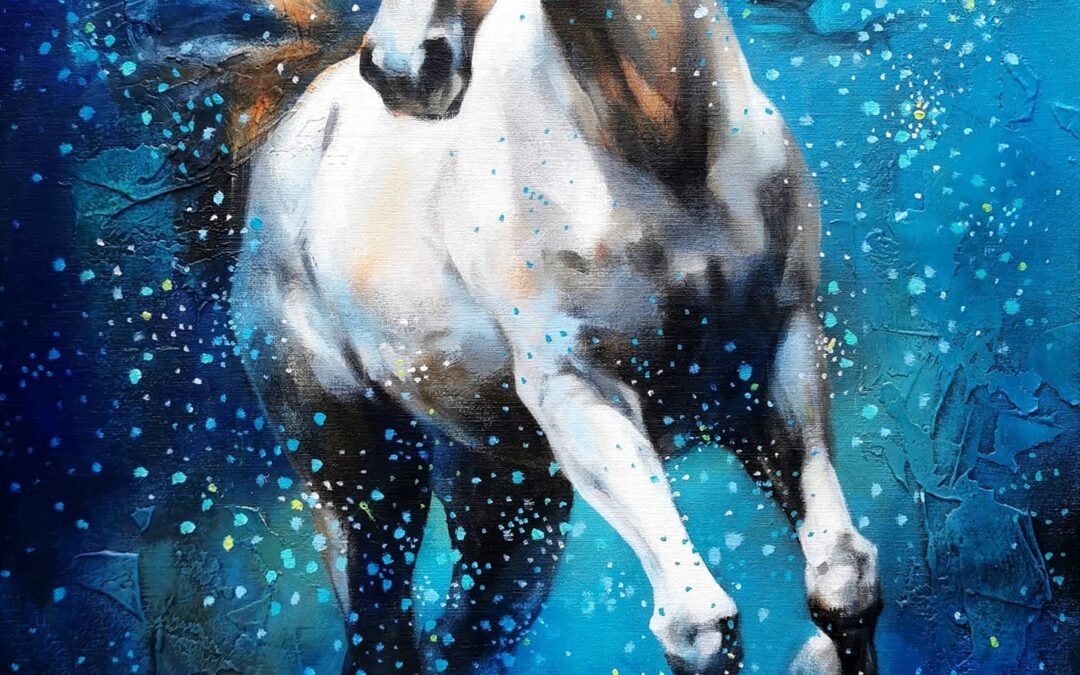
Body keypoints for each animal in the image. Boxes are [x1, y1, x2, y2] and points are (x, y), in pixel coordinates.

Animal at [229, 0, 883, 672]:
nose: (400, 69)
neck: (656, 140)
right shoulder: (576, 391)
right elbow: (698, 627)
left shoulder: (777, 360)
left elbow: (843, 583)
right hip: (362, 490)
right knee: (382, 638)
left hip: (510, 509)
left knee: (454, 643)